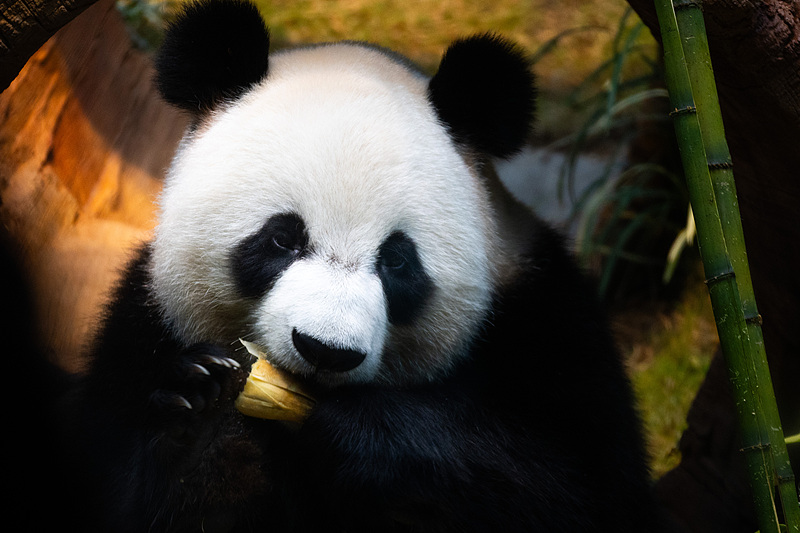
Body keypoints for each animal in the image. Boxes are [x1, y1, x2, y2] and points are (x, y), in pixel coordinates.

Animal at [62, 0, 660, 528]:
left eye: (397, 260)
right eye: (282, 240)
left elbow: (576, 488)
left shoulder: (546, 320)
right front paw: (206, 413)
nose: (325, 350)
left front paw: (363, 435)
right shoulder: (140, 333)